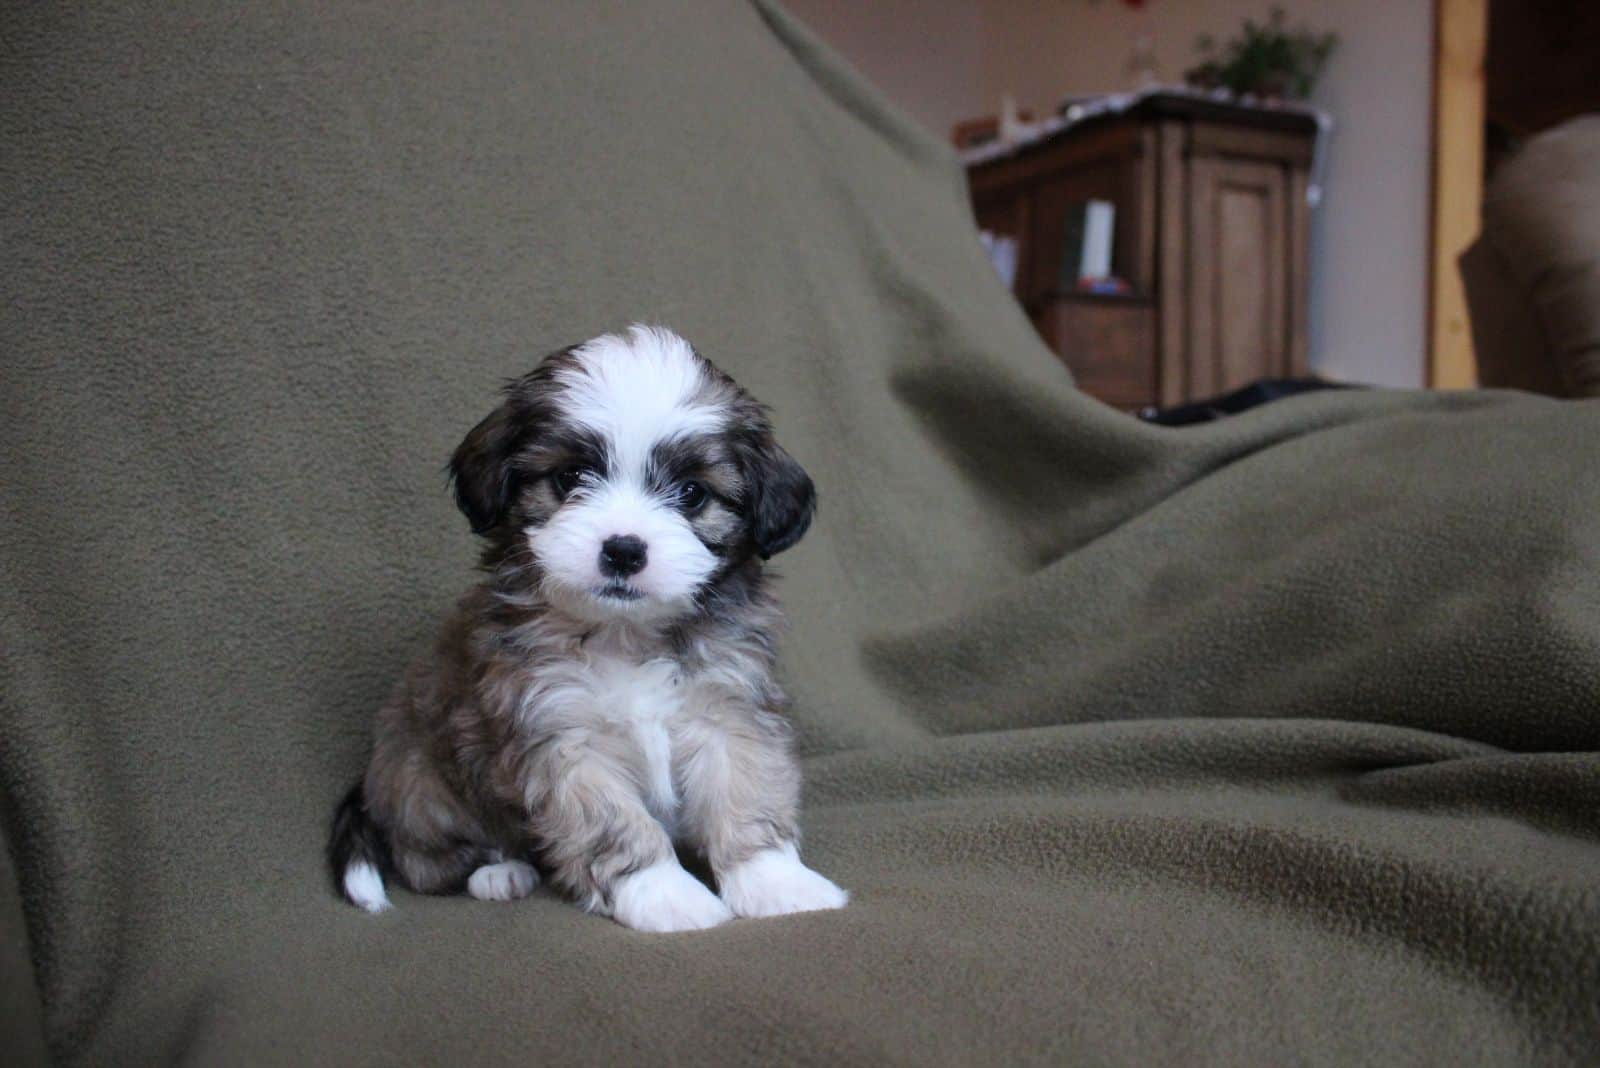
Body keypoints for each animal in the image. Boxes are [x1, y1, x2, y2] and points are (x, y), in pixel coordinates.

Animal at [328, 322, 851, 927]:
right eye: (570, 477)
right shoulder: (561, 735)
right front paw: (664, 894)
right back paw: (498, 872)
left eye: (692, 493)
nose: (623, 550)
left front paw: (773, 880)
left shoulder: (730, 705)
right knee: (426, 862)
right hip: (423, 787)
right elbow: (614, 826)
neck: (627, 635)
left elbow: (745, 790)